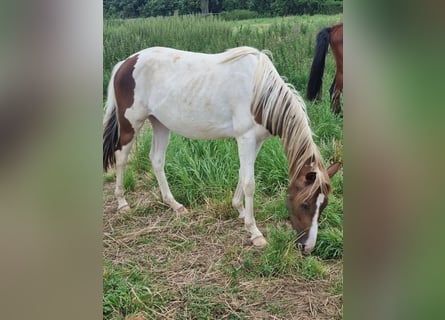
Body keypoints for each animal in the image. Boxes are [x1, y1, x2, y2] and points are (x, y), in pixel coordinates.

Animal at [103, 46, 340, 254]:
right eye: (305, 204)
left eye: (324, 205)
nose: (307, 248)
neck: (261, 93)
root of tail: (126, 62)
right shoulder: (245, 138)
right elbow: (250, 183)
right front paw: (255, 233)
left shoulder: (256, 140)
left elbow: (243, 174)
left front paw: (240, 211)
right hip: (131, 123)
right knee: (121, 157)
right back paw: (122, 202)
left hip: (160, 123)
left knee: (157, 160)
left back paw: (174, 204)